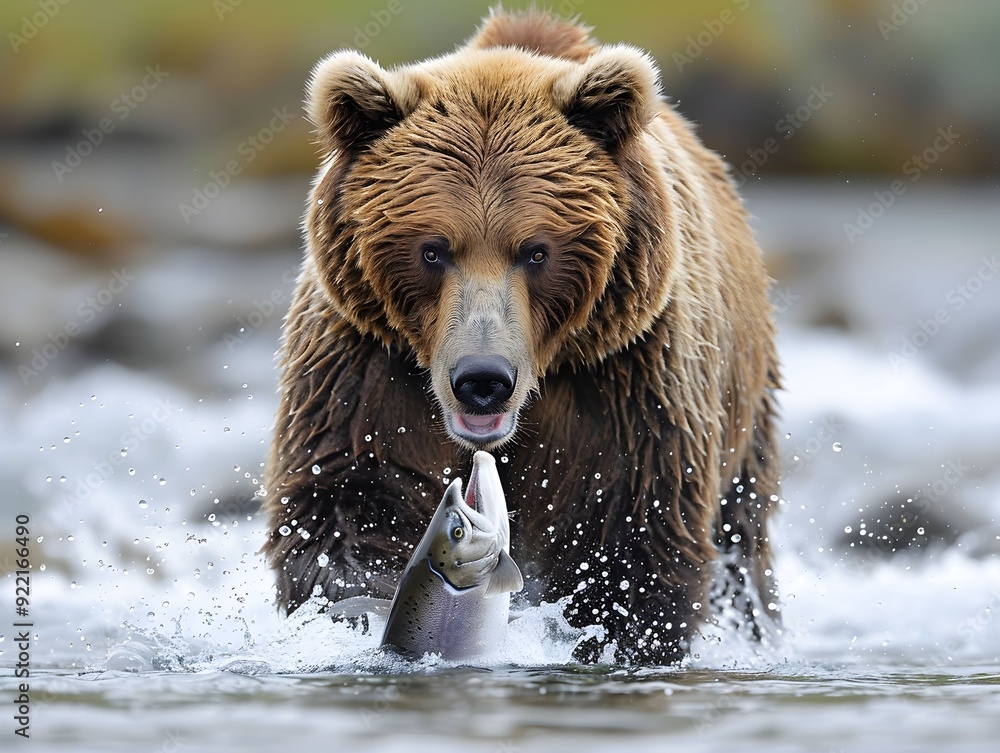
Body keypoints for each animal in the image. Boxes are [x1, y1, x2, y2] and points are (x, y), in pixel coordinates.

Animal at [262, 9, 781, 664]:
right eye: (432, 249)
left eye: (536, 250)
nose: (482, 380)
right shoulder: (367, 366)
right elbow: (348, 505)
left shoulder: (628, 383)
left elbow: (631, 543)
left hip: (744, 409)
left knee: (744, 543)